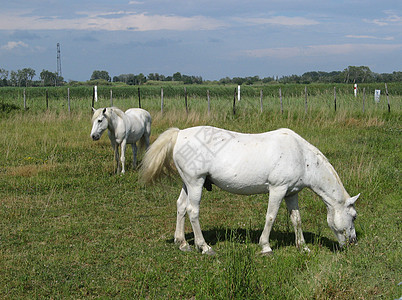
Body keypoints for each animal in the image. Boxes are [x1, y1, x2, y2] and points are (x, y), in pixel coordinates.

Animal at [141, 125, 358, 254]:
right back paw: (204, 247)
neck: (301, 155)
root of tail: (180, 134)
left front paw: (303, 246)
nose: (353, 242)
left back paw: (182, 243)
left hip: (188, 183)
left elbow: (296, 219)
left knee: (180, 207)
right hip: (196, 183)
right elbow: (271, 217)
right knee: (192, 211)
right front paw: (266, 246)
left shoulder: (291, 193)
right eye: (354, 216)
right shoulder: (278, 190)